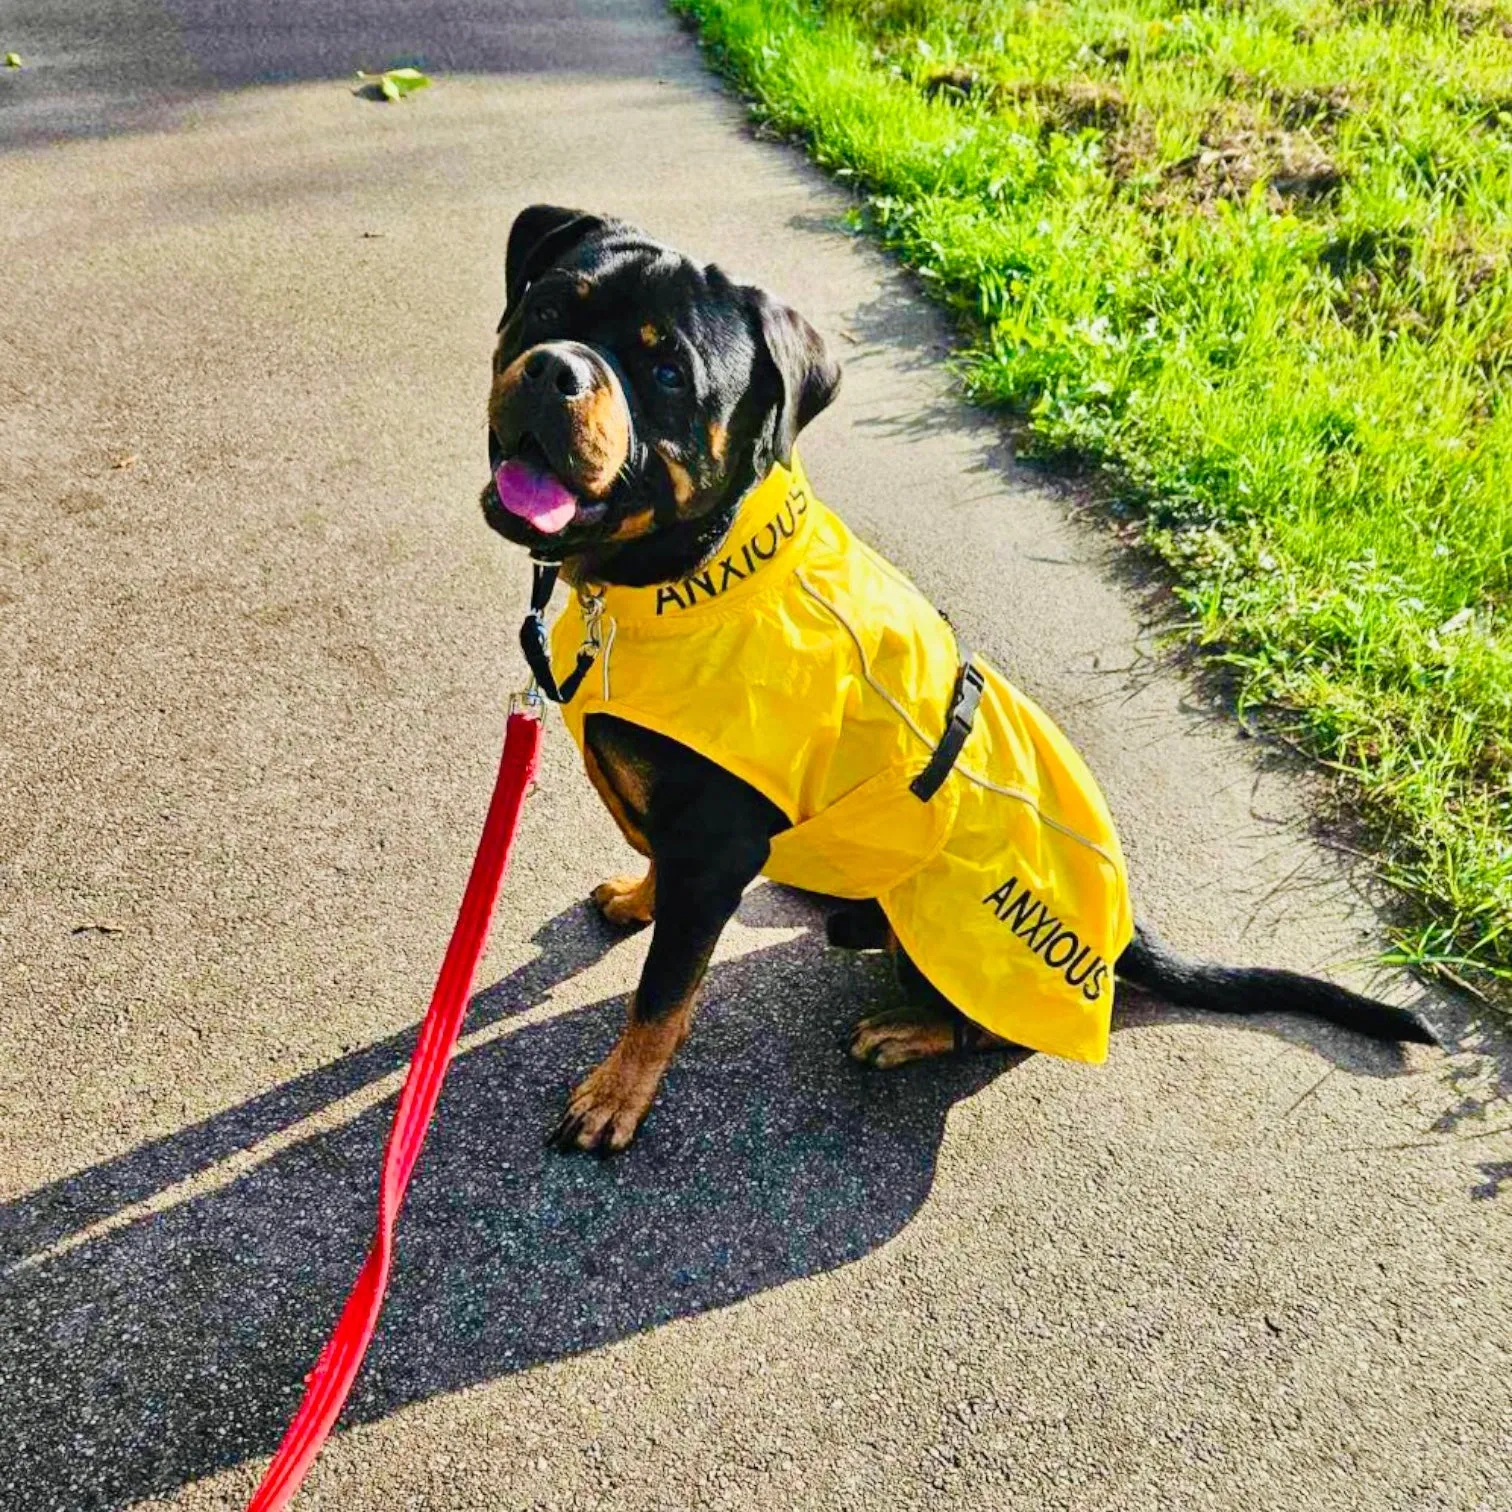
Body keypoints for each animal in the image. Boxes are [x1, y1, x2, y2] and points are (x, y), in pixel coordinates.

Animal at [480, 207, 1439, 1149]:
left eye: (668, 371)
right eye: (549, 307)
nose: (558, 369)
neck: (682, 575)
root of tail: (1125, 933)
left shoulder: (713, 851)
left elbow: (662, 993)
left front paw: (617, 1096)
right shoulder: (689, 843)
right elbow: (657, 879)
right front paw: (636, 899)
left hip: (960, 945)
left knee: (994, 1031)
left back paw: (907, 1030)